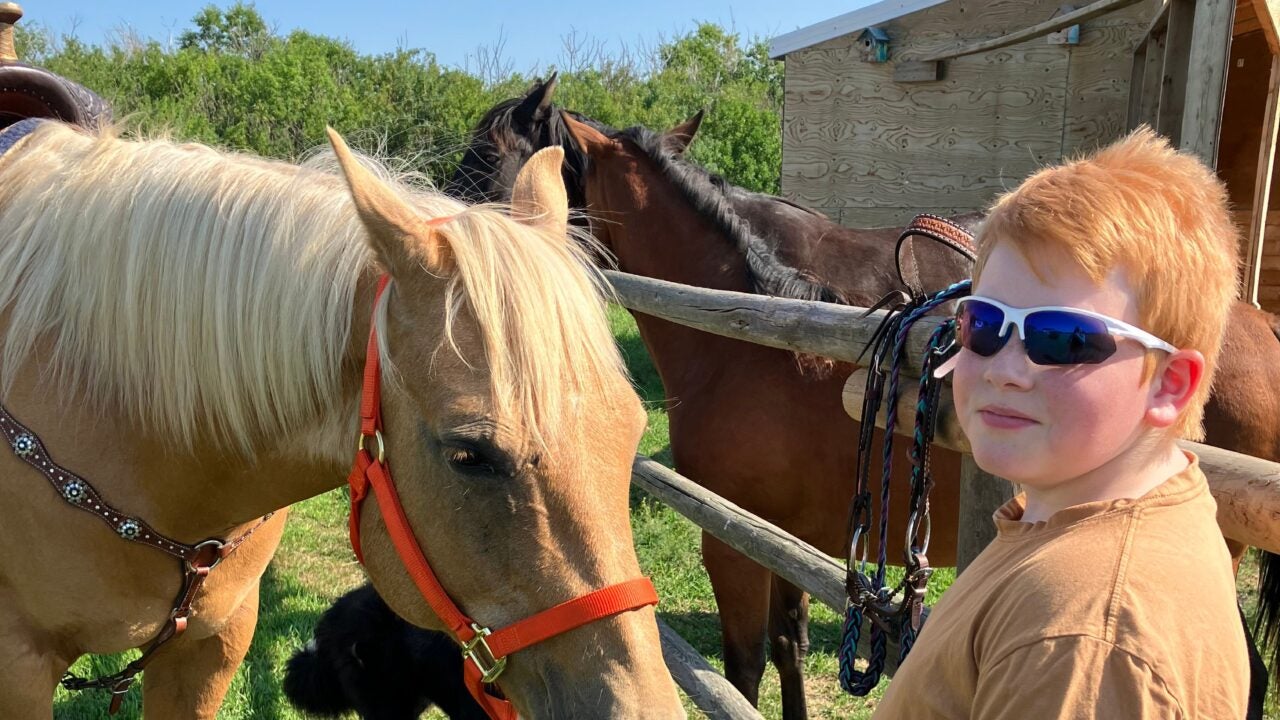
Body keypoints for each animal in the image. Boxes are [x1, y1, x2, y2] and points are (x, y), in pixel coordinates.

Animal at [452, 81, 1280, 719]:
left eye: (486, 161)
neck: (747, 344)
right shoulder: (772, 535)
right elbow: (786, 646)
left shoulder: (729, 544)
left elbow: (741, 667)